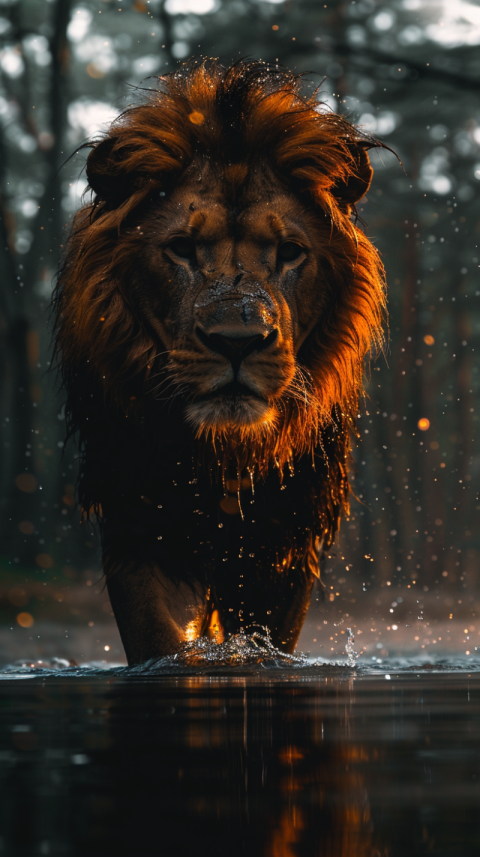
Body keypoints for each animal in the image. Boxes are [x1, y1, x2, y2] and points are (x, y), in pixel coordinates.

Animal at [54, 60, 387, 664]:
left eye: (289, 253)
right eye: (182, 249)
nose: (237, 340)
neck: (226, 455)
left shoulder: (285, 540)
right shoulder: (138, 523)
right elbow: (157, 639)